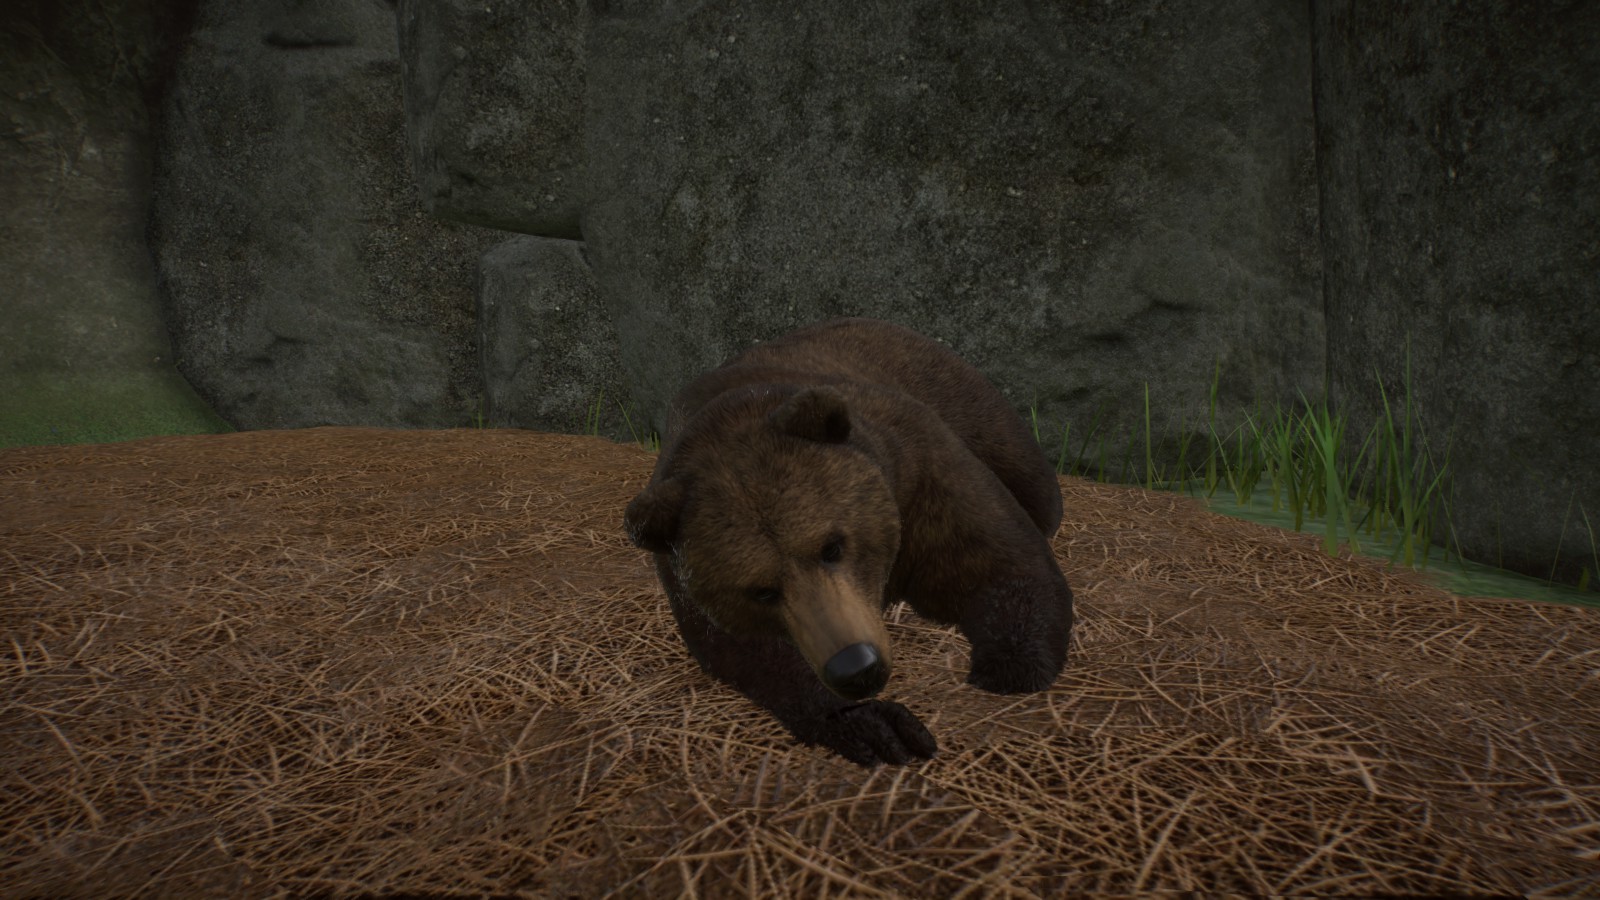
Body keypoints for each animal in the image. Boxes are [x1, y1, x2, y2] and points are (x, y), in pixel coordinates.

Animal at [624, 317, 1074, 766]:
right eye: (761, 591)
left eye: (832, 546)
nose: (856, 666)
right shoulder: (682, 574)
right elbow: (751, 653)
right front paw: (876, 724)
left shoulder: (919, 470)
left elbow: (1001, 561)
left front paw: (1004, 670)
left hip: (970, 403)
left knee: (1034, 483)